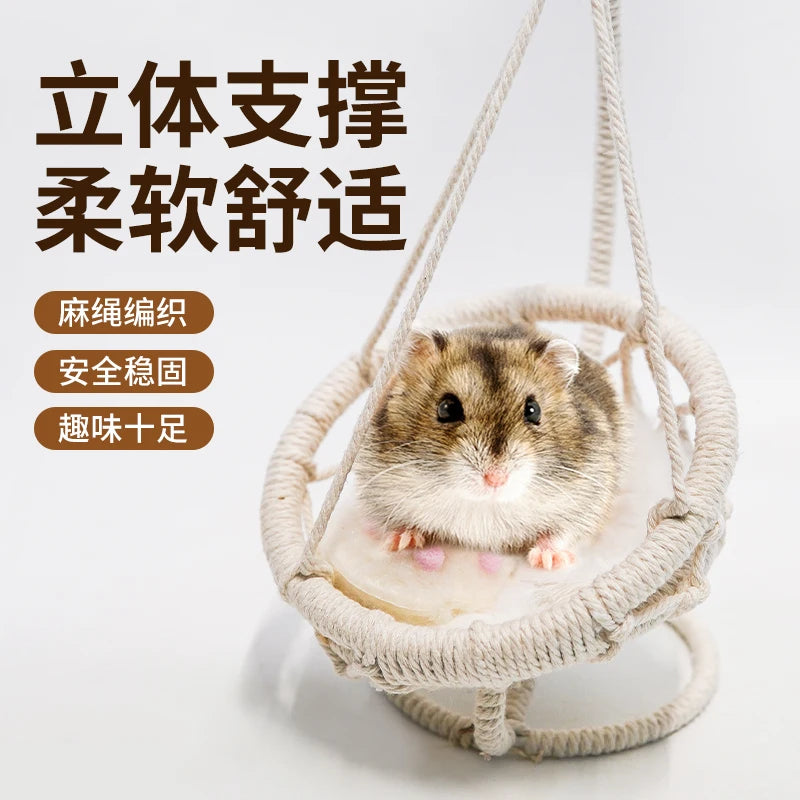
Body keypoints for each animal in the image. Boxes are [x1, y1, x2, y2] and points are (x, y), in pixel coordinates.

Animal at [353, 325, 626, 569]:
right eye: (446, 408)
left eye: (533, 410)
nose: (495, 479)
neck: (483, 504)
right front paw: (399, 541)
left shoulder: (587, 497)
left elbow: (561, 531)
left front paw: (548, 560)